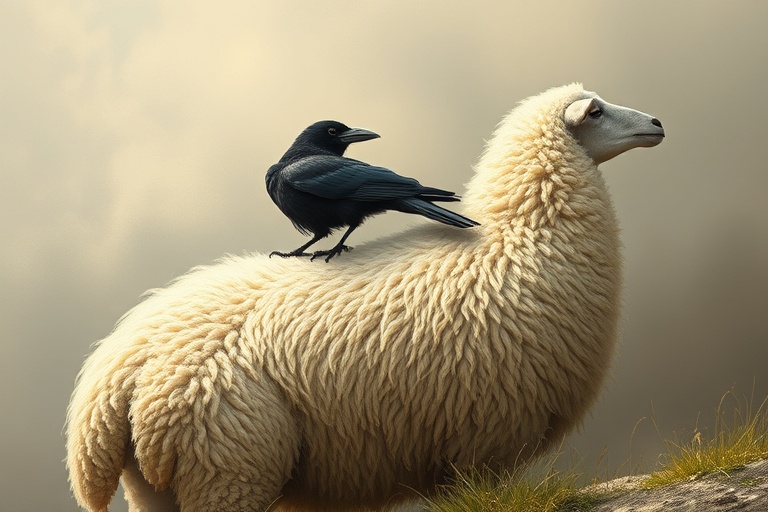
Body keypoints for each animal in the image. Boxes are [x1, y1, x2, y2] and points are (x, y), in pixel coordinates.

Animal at [66, 83, 664, 512]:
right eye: (595, 112)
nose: (658, 123)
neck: (515, 236)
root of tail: (106, 385)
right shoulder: (482, 431)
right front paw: (309, 251)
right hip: (227, 461)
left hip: (157, 481)